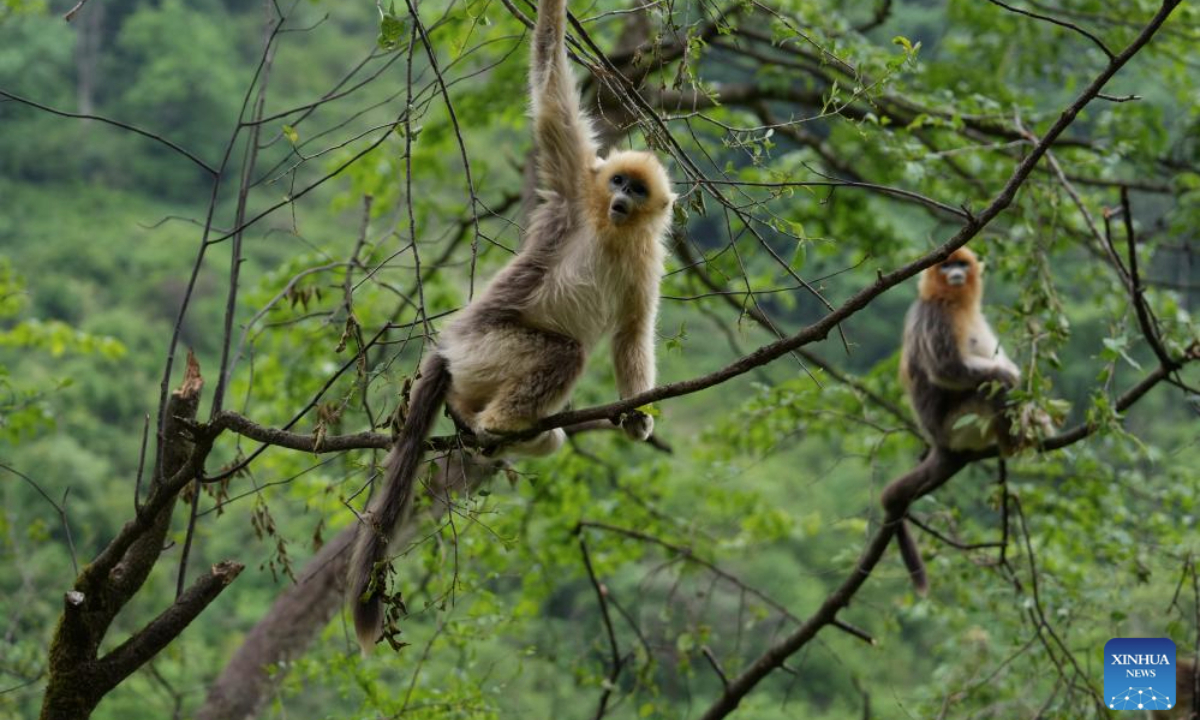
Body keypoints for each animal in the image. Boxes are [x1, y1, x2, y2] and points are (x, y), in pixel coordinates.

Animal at [347, 0, 676, 652]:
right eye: (617, 181)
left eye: (637, 188)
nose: (622, 198)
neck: (612, 230)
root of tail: (448, 348)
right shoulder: (577, 182)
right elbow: (551, 98)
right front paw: (556, 11)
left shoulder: (645, 260)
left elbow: (633, 333)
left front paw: (636, 415)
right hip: (485, 347)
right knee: (566, 354)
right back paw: (490, 422)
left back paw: (502, 430)